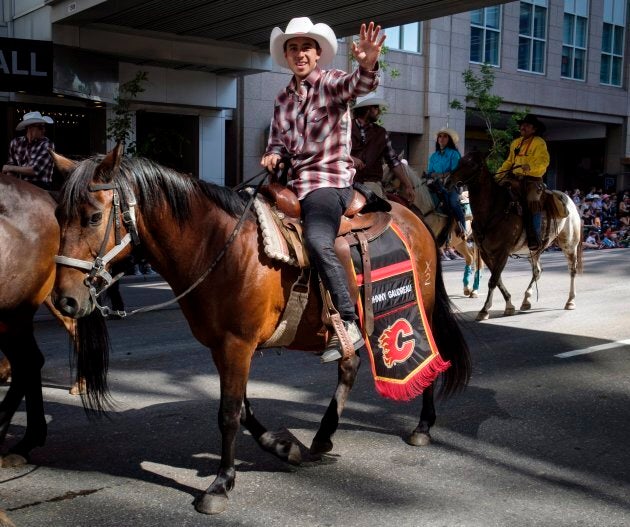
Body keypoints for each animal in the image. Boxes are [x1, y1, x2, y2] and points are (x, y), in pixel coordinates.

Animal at [50, 146, 474, 516]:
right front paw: (283, 447)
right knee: (349, 367)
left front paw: (221, 484)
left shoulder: (237, 344)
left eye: (92, 217)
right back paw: (322, 436)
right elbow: (242, 407)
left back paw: (423, 425)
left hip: (419, 305)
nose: (64, 300)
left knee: (430, 352)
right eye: (57, 214)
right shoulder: (222, 345)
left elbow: (228, 413)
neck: (217, 246)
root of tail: (414, 217)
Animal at [450, 152, 584, 322]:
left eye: (472, 164)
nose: (449, 180)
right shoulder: (487, 253)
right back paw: (526, 300)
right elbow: (497, 279)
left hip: (569, 244)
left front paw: (484, 310)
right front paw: (509, 305)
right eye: (460, 161)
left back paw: (570, 301)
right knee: (537, 271)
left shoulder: (503, 252)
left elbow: (493, 280)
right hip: (534, 250)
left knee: (572, 270)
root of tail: (569, 200)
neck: (493, 211)